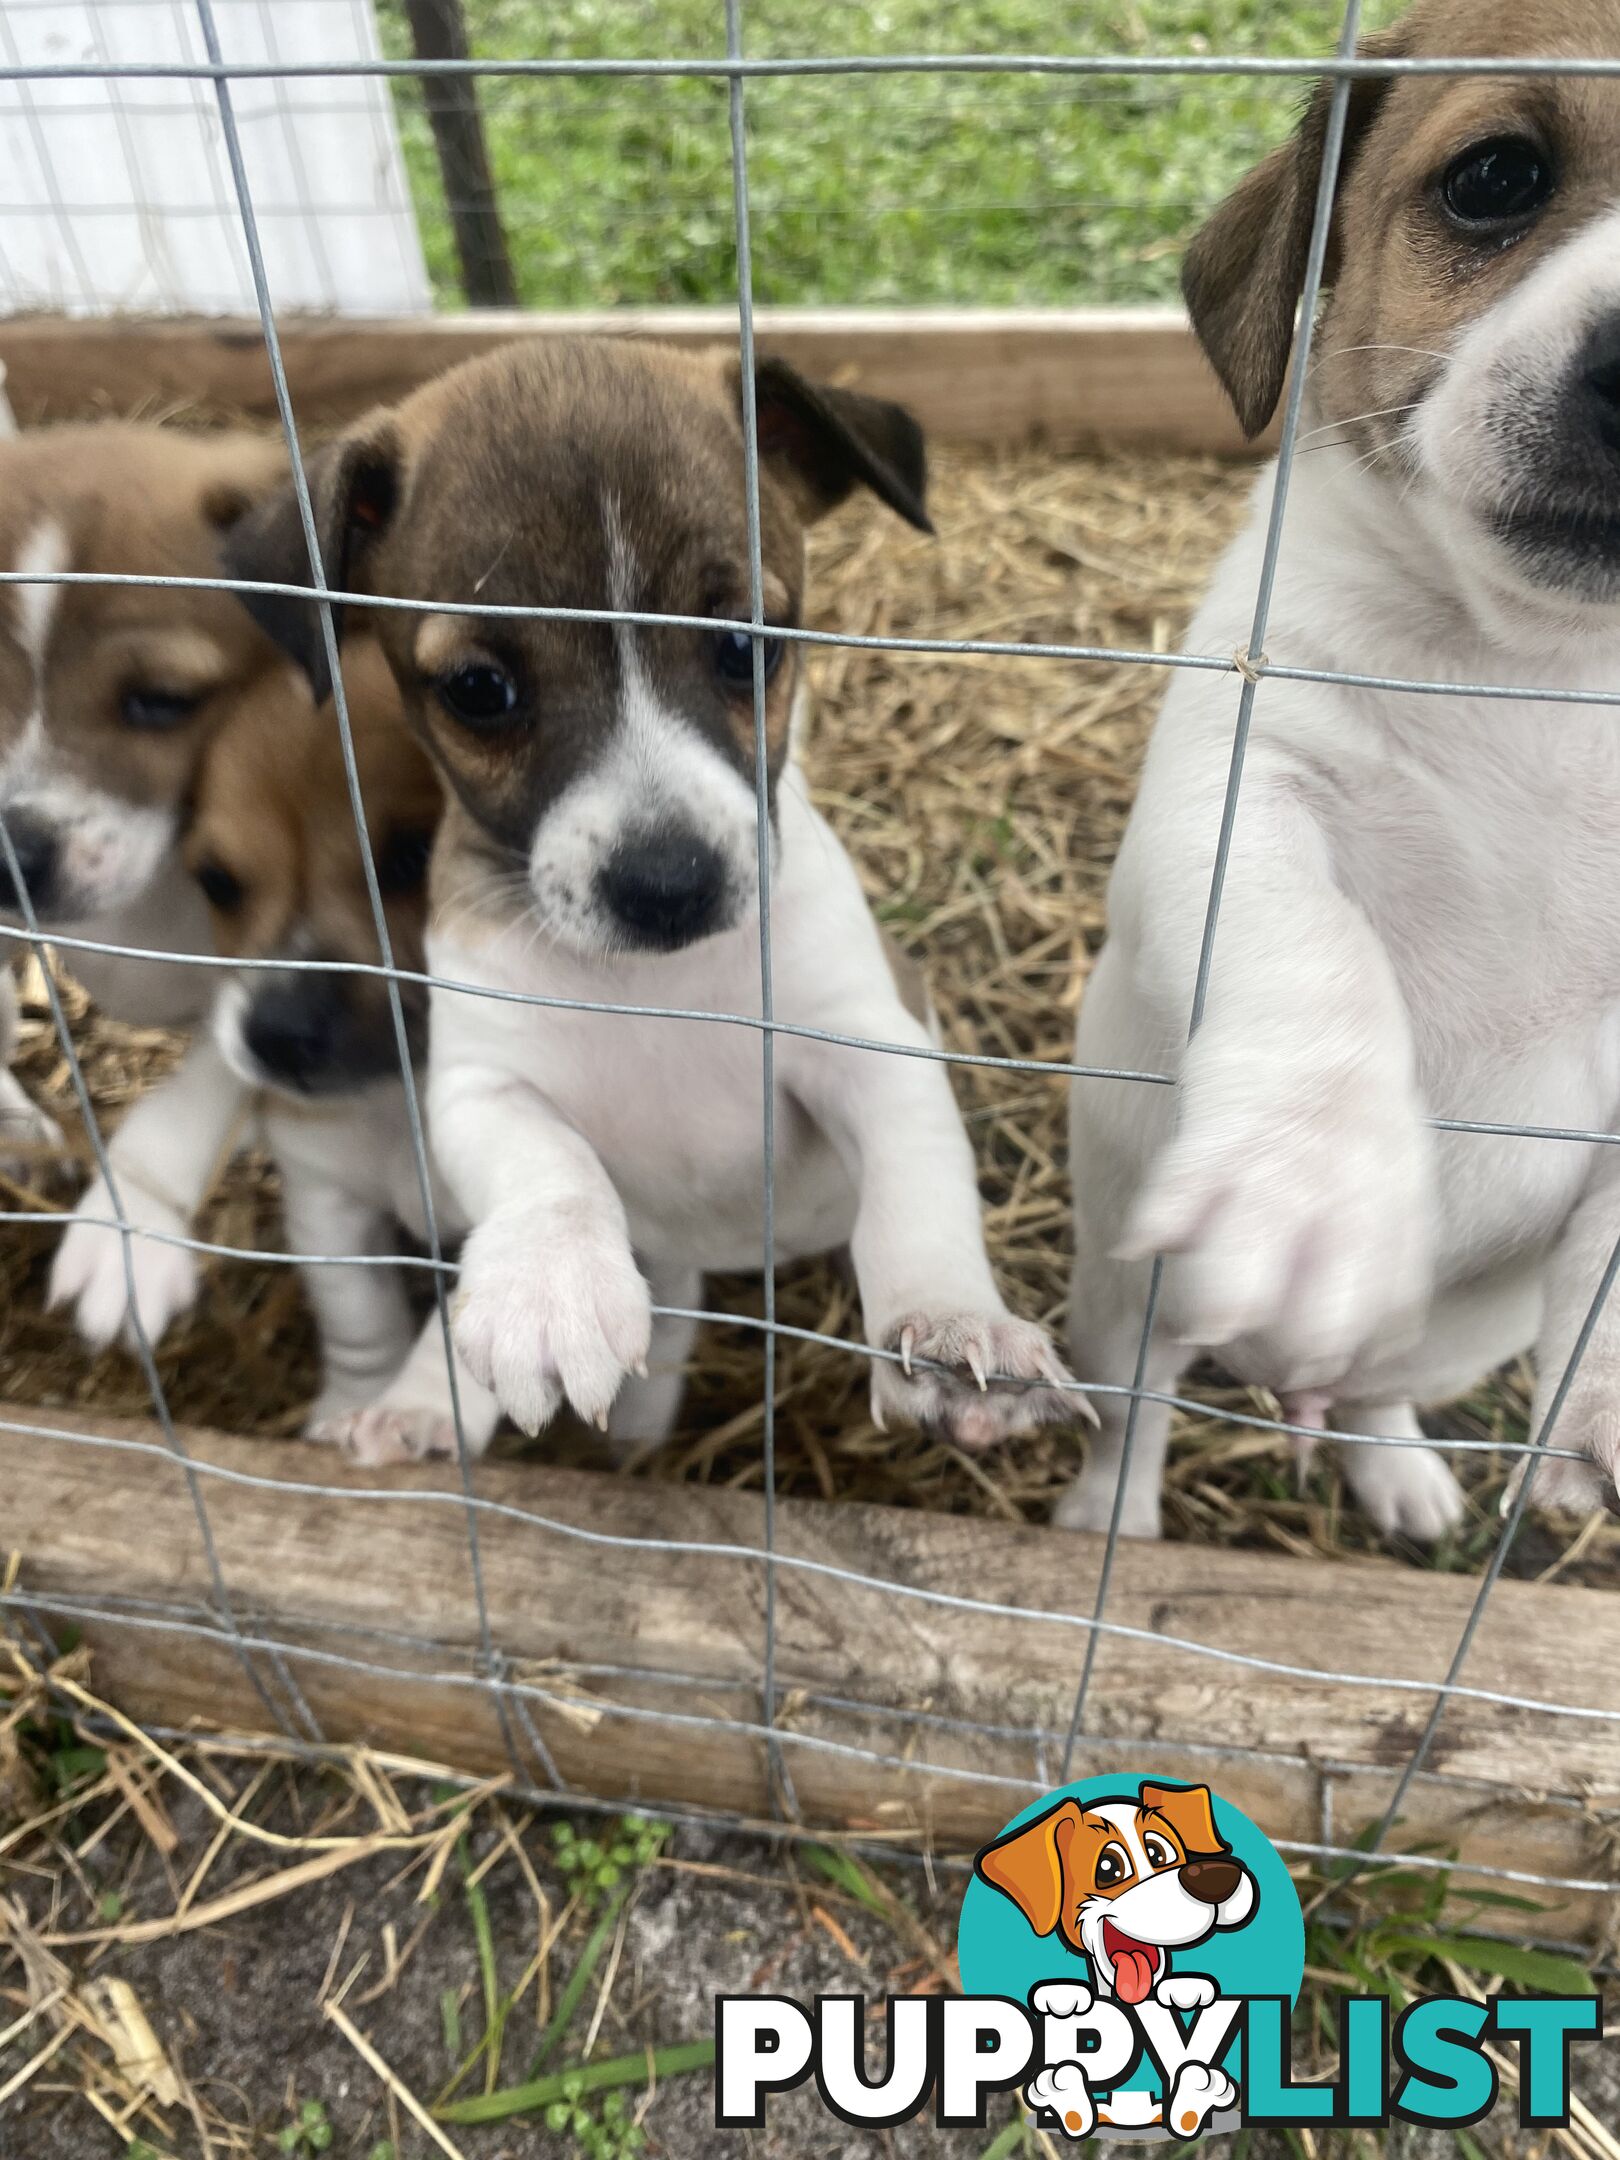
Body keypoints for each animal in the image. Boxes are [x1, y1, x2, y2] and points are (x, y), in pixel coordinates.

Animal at [186, 630, 498, 1460]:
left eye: (415, 856)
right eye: (217, 882)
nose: (273, 1035)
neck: (401, 1098)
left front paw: (420, 1410)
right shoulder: (327, 1201)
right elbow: (357, 1313)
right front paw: (353, 1406)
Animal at [1067, 4, 1620, 1555]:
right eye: (1496, 178)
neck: (1550, 669)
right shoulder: (1238, 783)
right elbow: (1310, 947)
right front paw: (1311, 1181)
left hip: (1434, 1348)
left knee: (1374, 1392)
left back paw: (1395, 1470)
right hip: (1131, 1301)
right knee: (1138, 1411)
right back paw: (1108, 1519)